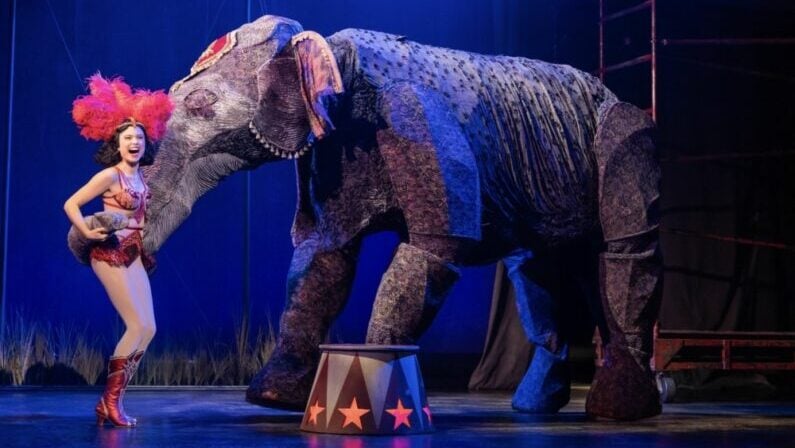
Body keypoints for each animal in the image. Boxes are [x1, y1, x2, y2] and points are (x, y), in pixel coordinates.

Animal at [141, 15, 662, 420]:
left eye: (202, 104)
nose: (143, 260)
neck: (334, 53)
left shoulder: (413, 113)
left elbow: (434, 247)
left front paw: (371, 386)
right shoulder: (330, 152)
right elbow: (323, 255)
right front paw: (272, 398)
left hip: (624, 136)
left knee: (625, 250)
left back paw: (621, 409)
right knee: (536, 272)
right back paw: (535, 406)